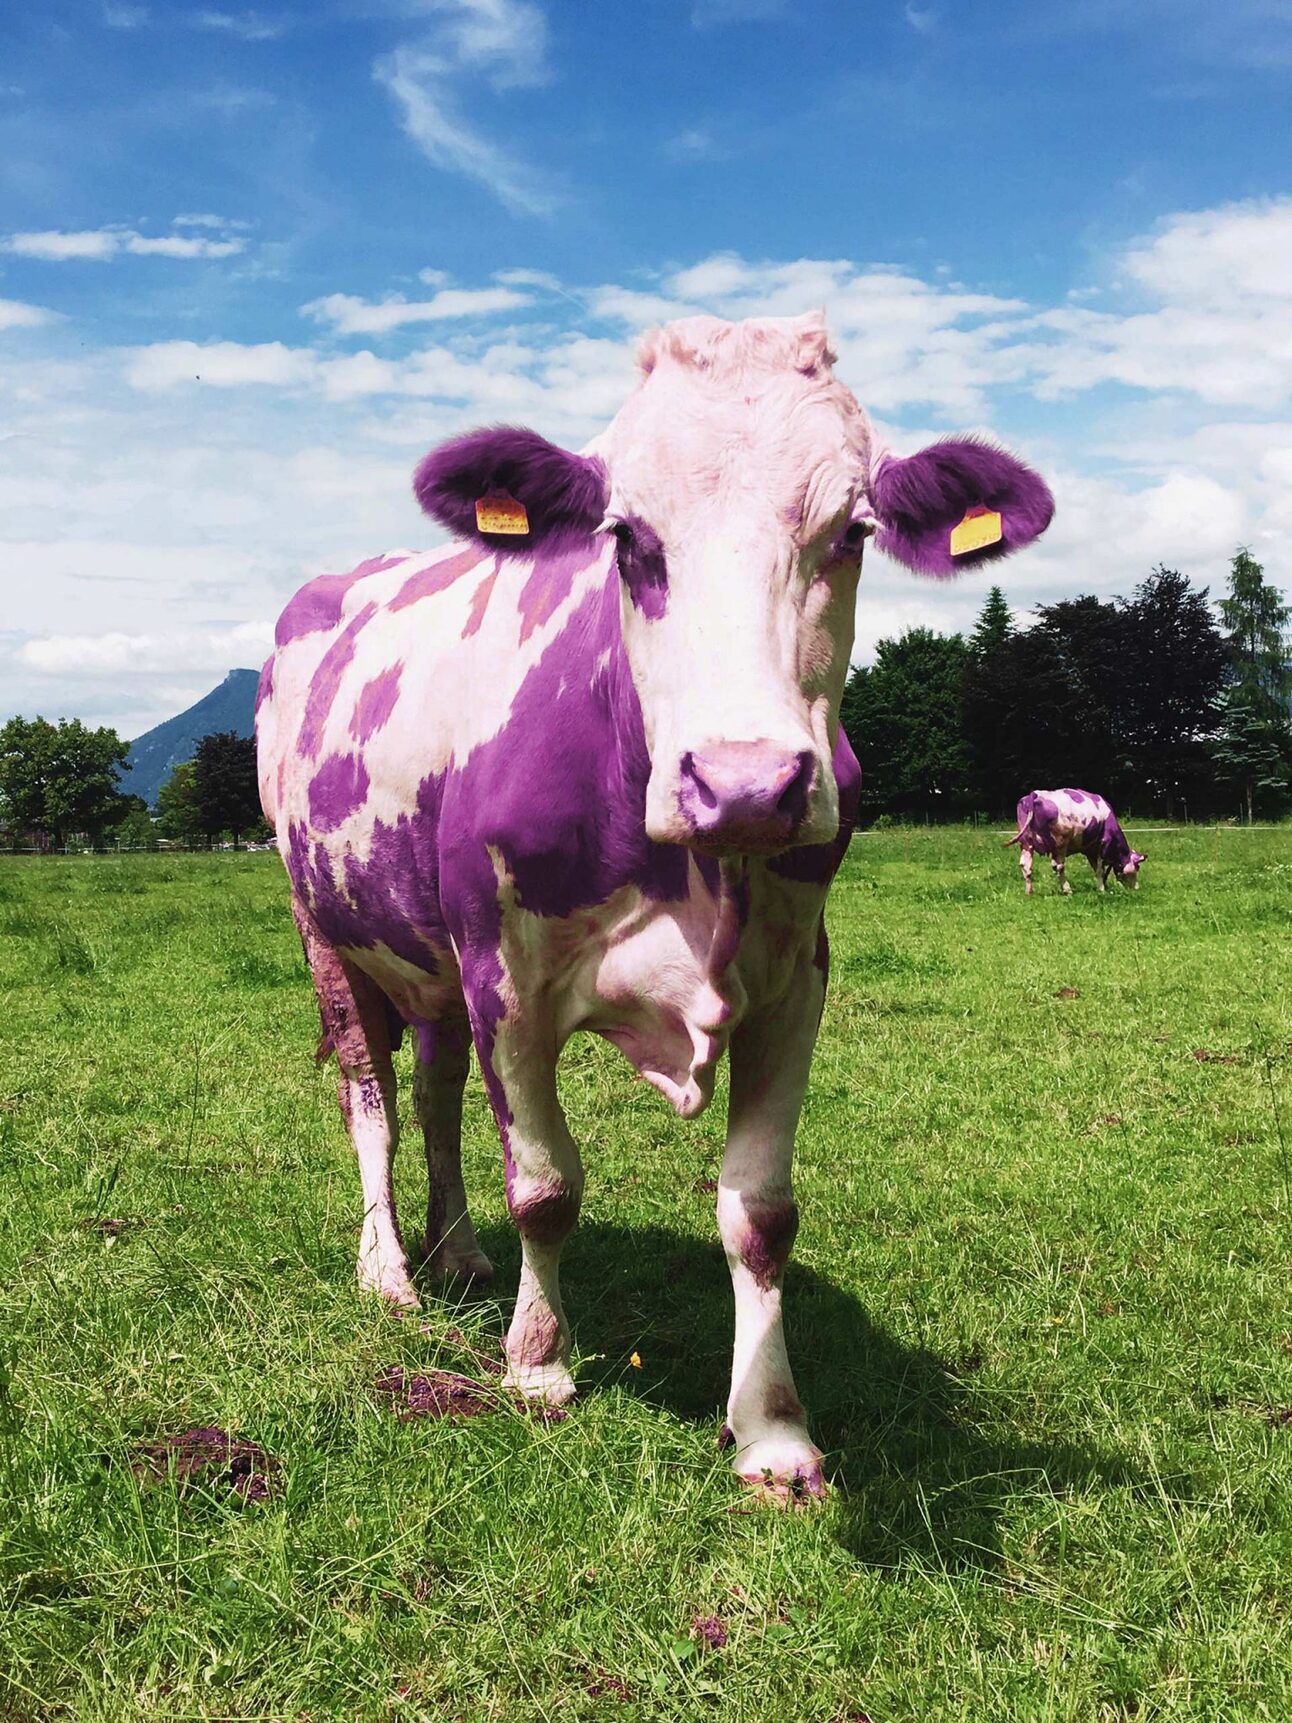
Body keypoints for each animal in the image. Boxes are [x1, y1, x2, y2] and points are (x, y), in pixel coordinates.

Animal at [257, 312, 1054, 1500]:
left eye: (852, 532)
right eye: (627, 538)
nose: (745, 783)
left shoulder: (795, 981)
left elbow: (760, 1214)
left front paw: (771, 1430)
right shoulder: (504, 975)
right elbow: (545, 1185)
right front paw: (538, 1364)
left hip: (430, 956)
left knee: (438, 1089)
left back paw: (458, 1249)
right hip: (329, 930)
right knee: (373, 1094)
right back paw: (389, 1269)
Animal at [1007, 789, 1145, 895]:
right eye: (1137, 867)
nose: (1136, 888)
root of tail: (1034, 794)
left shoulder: (1090, 850)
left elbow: (1096, 868)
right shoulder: (1102, 845)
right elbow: (1100, 869)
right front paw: (1101, 889)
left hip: (1026, 843)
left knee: (1026, 866)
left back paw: (1029, 892)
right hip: (1060, 843)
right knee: (1059, 866)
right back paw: (1067, 890)